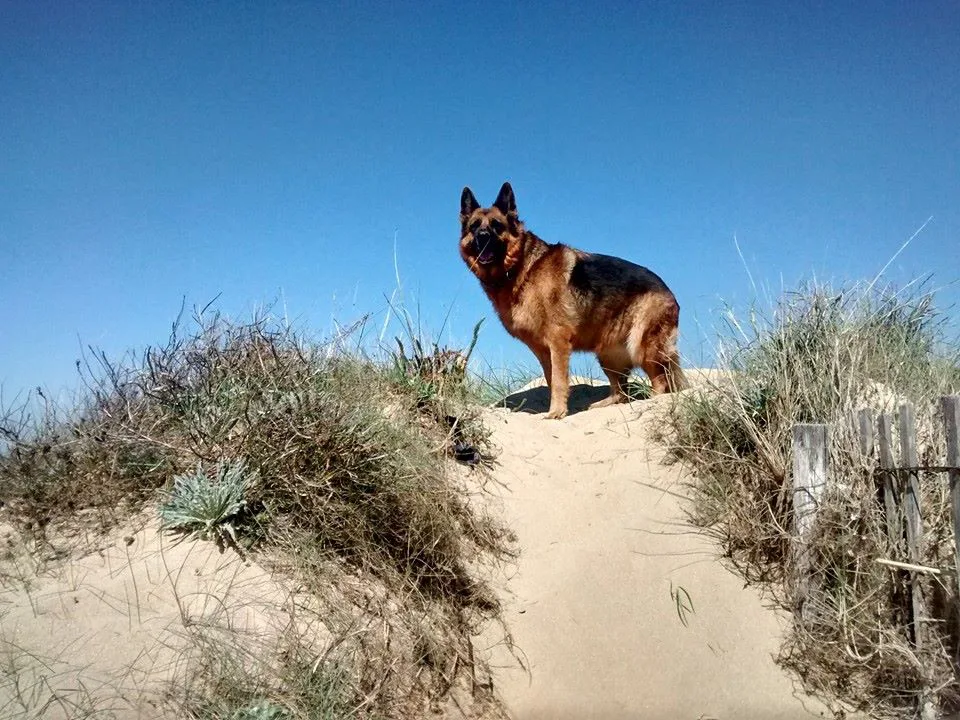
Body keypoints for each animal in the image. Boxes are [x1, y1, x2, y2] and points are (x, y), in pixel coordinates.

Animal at [458, 181, 684, 422]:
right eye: (474, 227)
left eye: (496, 225)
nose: (482, 236)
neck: (522, 268)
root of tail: (669, 291)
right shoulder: (543, 351)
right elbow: (551, 380)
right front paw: (557, 409)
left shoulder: (558, 342)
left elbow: (558, 381)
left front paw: (557, 412)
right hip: (607, 353)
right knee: (622, 392)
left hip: (642, 347)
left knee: (660, 384)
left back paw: (650, 401)